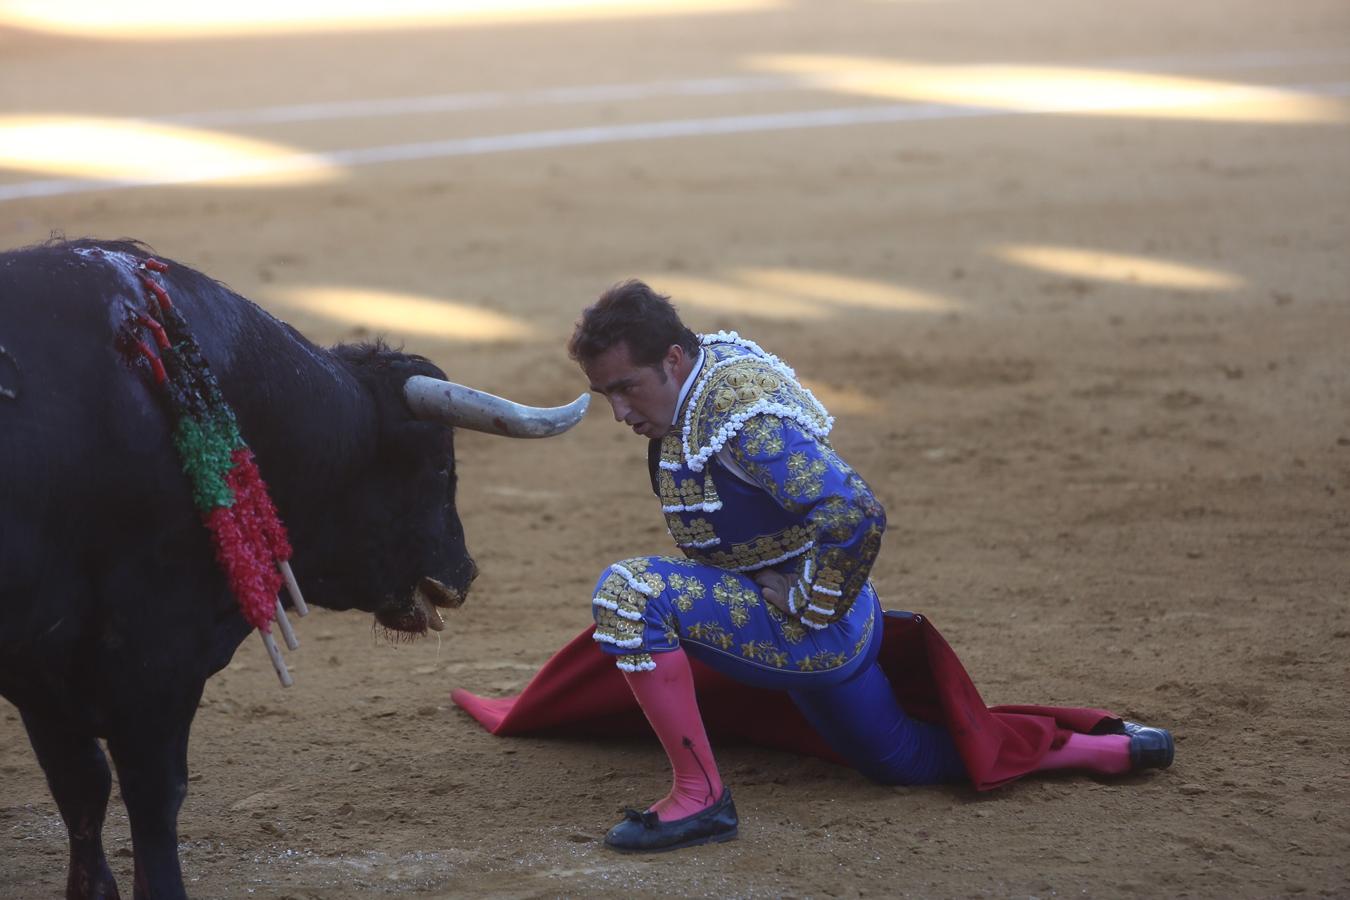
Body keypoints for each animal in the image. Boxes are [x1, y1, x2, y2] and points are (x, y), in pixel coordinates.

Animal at [2, 241, 588, 900]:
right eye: (440, 465)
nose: (463, 574)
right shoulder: (155, 649)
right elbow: (153, 794)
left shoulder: (42, 662)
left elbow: (82, 785)